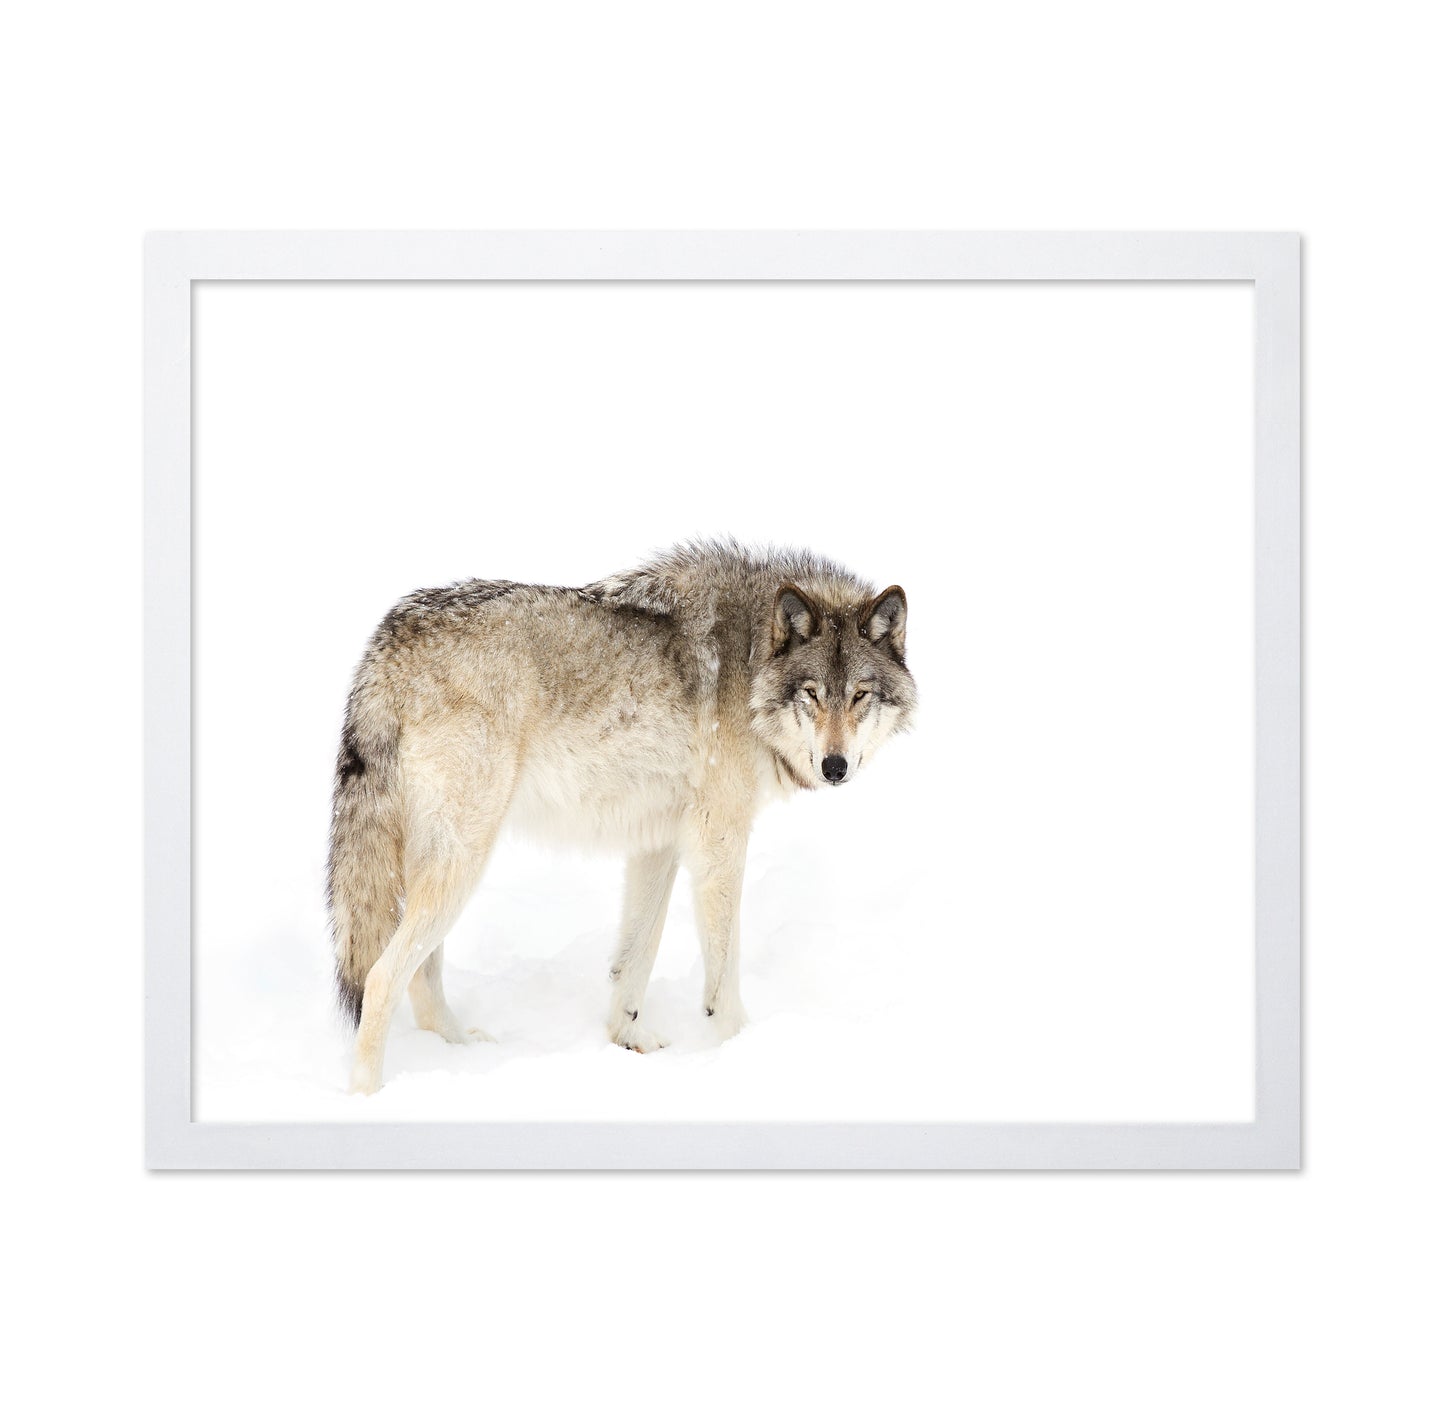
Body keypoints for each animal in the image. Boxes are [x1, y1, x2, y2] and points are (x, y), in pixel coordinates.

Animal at [327, 539, 917, 1093]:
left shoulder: (659, 842)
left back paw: (460, 1052)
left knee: (421, 979)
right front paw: (740, 1050)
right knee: (380, 979)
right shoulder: (718, 842)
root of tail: (390, 636)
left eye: (860, 696)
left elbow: (634, 959)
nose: (835, 766)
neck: (751, 661)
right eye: (812, 694)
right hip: (463, 860)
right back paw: (367, 1094)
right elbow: (723, 976)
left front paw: (627, 1038)